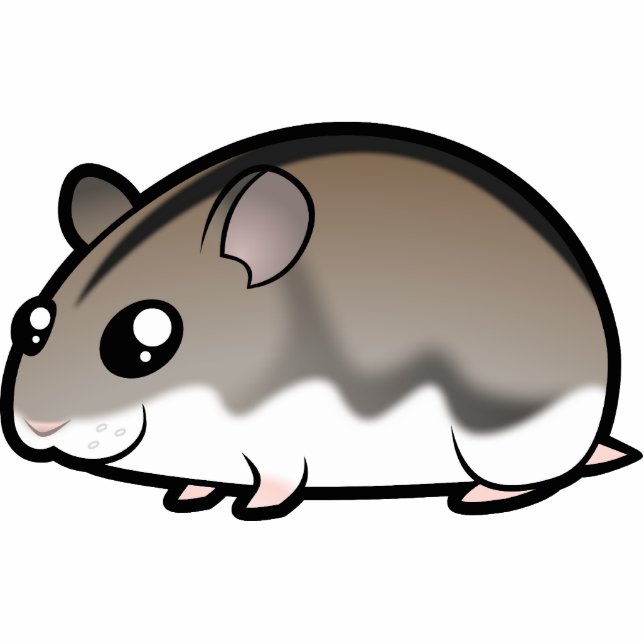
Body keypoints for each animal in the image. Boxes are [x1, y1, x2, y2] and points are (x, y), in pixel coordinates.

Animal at [1, 123, 640, 520]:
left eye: (144, 341)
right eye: (31, 323)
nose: (37, 426)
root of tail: (594, 433)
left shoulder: (278, 441)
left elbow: (276, 477)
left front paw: (253, 506)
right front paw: (188, 493)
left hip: (503, 435)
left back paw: (483, 497)